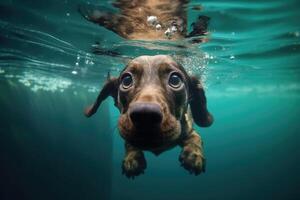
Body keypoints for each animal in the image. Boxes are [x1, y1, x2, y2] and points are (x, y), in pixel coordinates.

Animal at [84, 55, 213, 178]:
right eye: (126, 80)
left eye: (175, 79)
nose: (145, 116)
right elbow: (129, 142)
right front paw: (132, 158)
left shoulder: (188, 129)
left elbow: (196, 138)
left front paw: (194, 156)